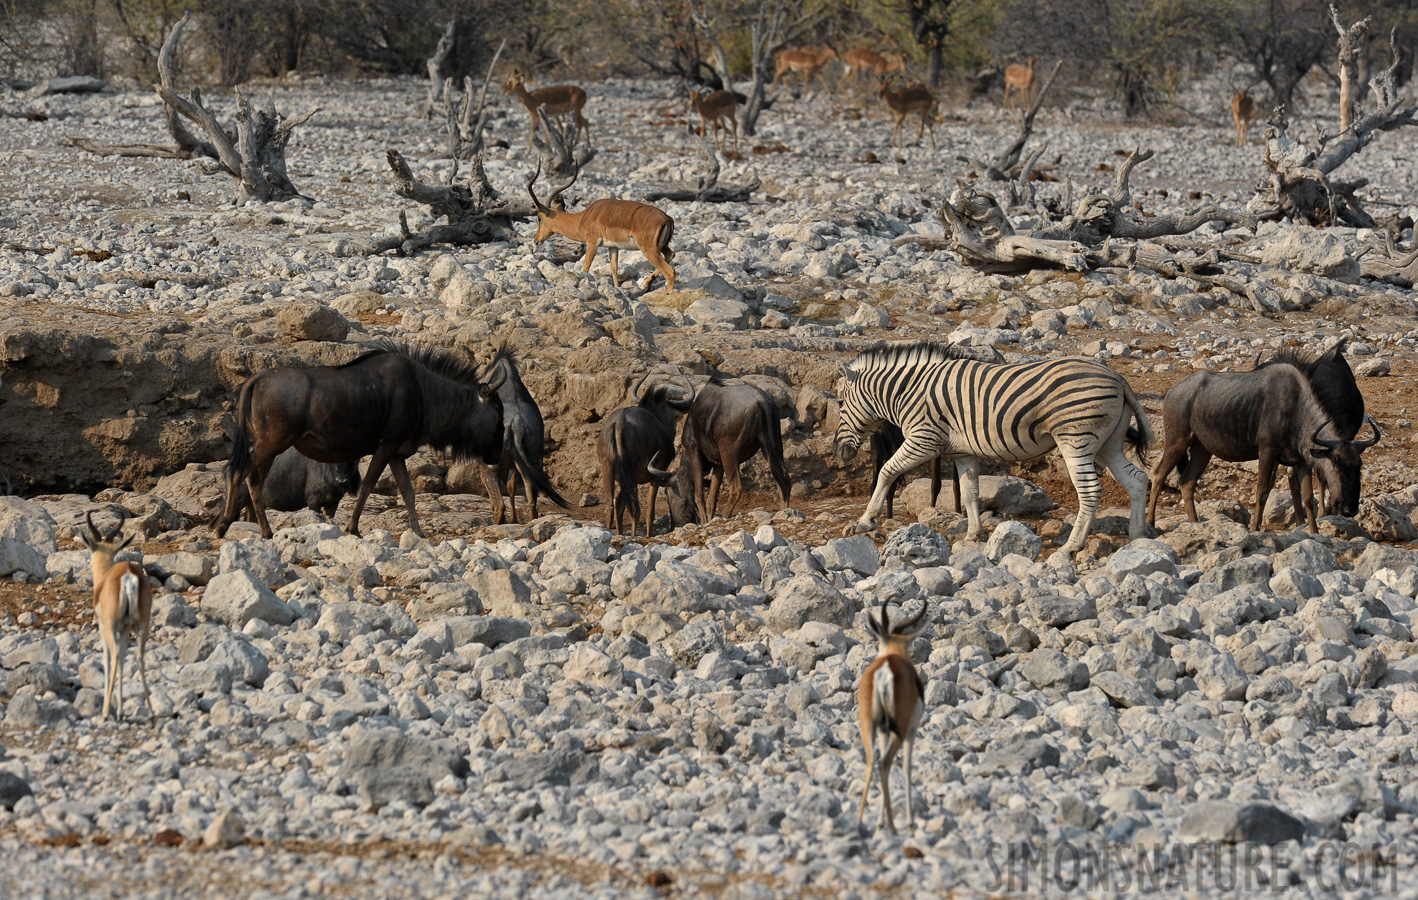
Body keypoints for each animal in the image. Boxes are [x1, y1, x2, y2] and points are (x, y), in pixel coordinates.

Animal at [80, 513, 153, 725]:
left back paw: (105, 714)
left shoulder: (103, 628)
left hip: (110, 627)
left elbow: (107, 660)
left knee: (112, 657)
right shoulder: (124, 630)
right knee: (138, 656)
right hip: (142, 626)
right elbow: (122, 660)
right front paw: (120, 711)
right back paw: (151, 714)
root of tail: (128, 575)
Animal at [527, 167, 674, 293]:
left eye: (539, 218)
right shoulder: (613, 246)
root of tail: (667, 218)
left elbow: (585, 267)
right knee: (671, 255)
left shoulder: (592, 243)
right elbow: (614, 268)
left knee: (670, 272)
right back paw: (647, 285)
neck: (582, 218)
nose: (536, 240)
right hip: (660, 247)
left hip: (648, 249)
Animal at [828, 342, 1151, 555]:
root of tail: (1118, 378)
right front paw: (974, 534)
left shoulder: (924, 440)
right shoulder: (962, 451)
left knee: (1091, 492)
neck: (909, 391)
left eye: (841, 404)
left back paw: (1072, 546)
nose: (838, 452)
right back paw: (1137, 536)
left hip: (1076, 438)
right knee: (1137, 480)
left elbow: (886, 472)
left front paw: (865, 521)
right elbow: (970, 493)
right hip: (1108, 445)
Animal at [850, 600, 930, 833]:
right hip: (900, 730)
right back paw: (895, 827)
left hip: (868, 725)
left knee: (871, 762)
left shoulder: (883, 730)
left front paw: (879, 821)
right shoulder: (912, 730)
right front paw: (910, 823)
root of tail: (886, 669)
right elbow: (907, 768)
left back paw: (861, 820)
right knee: (885, 763)